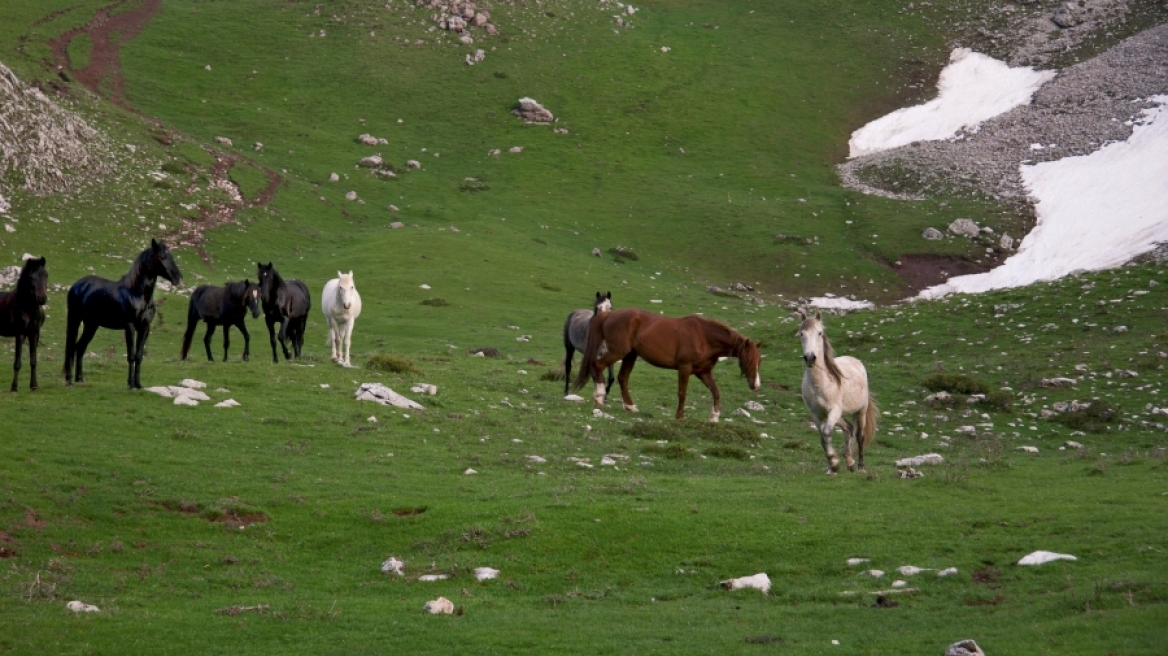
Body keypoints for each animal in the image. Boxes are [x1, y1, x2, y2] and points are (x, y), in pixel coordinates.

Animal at [0, 254, 48, 387]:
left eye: (46, 275)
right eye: (31, 277)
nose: (42, 298)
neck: (28, 307)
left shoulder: (34, 334)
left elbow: (33, 360)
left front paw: (34, 385)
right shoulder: (20, 334)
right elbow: (17, 362)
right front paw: (14, 387)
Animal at [63, 235, 181, 385]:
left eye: (170, 256)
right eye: (161, 257)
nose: (178, 278)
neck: (136, 295)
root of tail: (77, 285)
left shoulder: (144, 327)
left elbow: (139, 356)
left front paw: (138, 384)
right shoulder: (129, 326)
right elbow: (131, 355)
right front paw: (130, 384)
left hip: (91, 325)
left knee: (80, 347)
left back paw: (80, 379)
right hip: (75, 319)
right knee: (71, 347)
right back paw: (69, 380)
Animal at [569, 305, 761, 417]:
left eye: (759, 361)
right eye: (748, 360)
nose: (756, 385)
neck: (704, 337)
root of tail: (609, 315)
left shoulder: (703, 373)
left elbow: (716, 391)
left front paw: (714, 417)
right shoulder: (684, 368)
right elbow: (682, 393)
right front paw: (679, 416)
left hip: (630, 355)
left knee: (622, 378)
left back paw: (630, 406)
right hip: (618, 352)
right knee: (598, 365)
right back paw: (600, 397)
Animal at [798, 308, 878, 471]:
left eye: (820, 333)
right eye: (802, 334)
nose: (810, 358)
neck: (820, 384)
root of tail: (856, 361)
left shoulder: (834, 411)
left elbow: (827, 432)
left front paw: (834, 462)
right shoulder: (816, 414)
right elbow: (823, 437)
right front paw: (832, 465)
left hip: (860, 411)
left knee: (859, 436)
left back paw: (860, 466)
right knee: (848, 428)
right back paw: (849, 461)